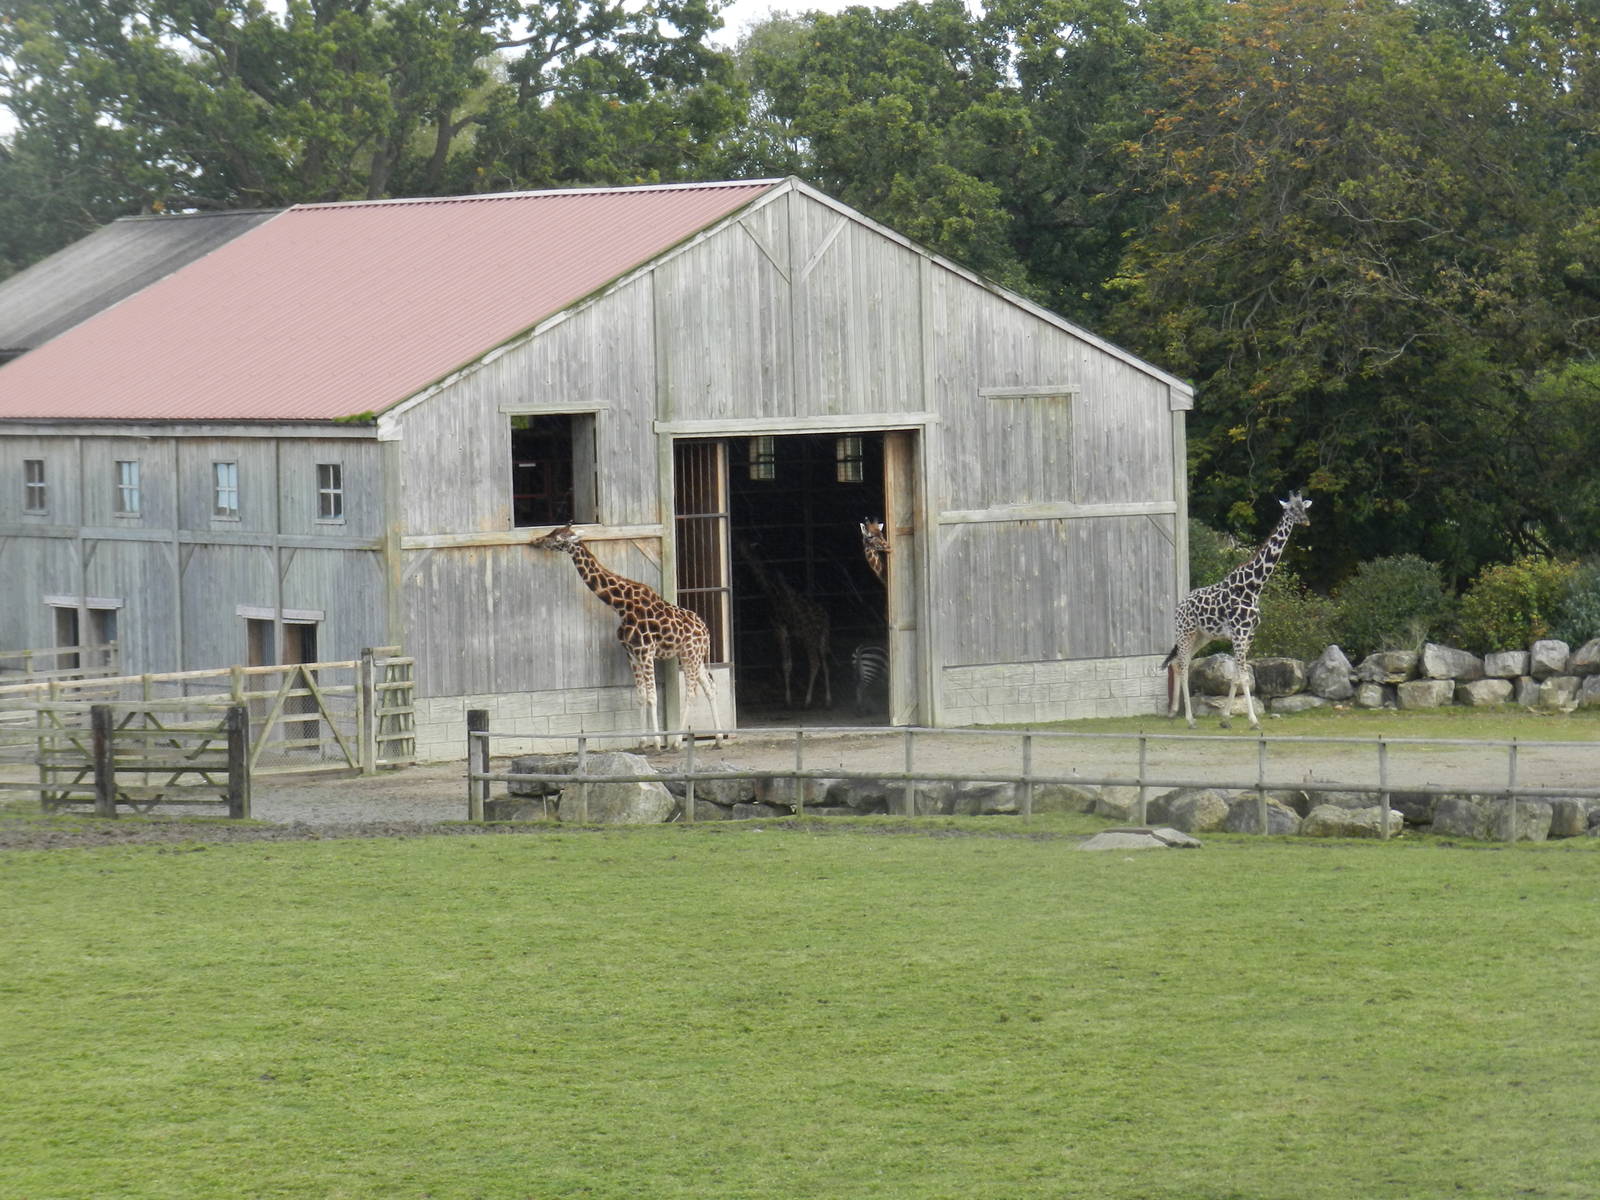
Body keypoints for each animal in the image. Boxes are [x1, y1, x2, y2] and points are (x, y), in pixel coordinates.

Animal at [531, 525, 725, 747]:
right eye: (552, 531)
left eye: (558, 537)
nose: (537, 541)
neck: (621, 606)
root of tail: (706, 631)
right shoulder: (631, 654)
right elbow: (641, 696)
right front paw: (642, 741)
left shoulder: (646, 652)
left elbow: (652, 696)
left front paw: (656, 742)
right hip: (695, 656)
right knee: (710, 687)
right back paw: (719, 738)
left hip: (689, 655)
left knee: (691, 693)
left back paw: (676, 741)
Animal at [734, 541, 832, 709]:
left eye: (742, 546)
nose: (737, 553)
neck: (771, 590)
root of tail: (824, 618)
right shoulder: (787, 632)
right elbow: (789, 663)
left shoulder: (779, 628)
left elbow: (785, 664)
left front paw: (788, 700)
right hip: (823, 638)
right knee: (825, 663)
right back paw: (828, 699)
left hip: (809, 637)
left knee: (815, 662)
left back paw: (807, 701)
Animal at [1162, 491, 1313, 730]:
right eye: (1290, 509)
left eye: (1304, 507)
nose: (1306, 521)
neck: (1254, 586)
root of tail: (1178, 607)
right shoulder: (1240, 633)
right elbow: (1244, 677)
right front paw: (1254, 721)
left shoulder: (1248, 634)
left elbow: (1235, 677)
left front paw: (1225, 719)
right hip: (1185, 632)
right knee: (1184, 665)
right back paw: (1190, 719)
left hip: (1202, 636)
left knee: (1177, 663)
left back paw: (1173, 713)